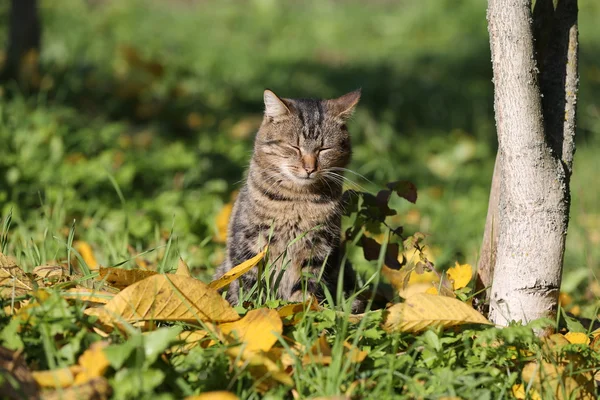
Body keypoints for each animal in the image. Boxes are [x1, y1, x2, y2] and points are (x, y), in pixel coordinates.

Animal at [217, 89, 366, 310]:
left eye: (324, 149)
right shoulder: (250, 241)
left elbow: (305, 287)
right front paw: (250, 310)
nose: (309, 168)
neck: (297, 200)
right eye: (294, 147)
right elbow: (250, 282)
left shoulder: (318, 247)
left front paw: (301, 310)